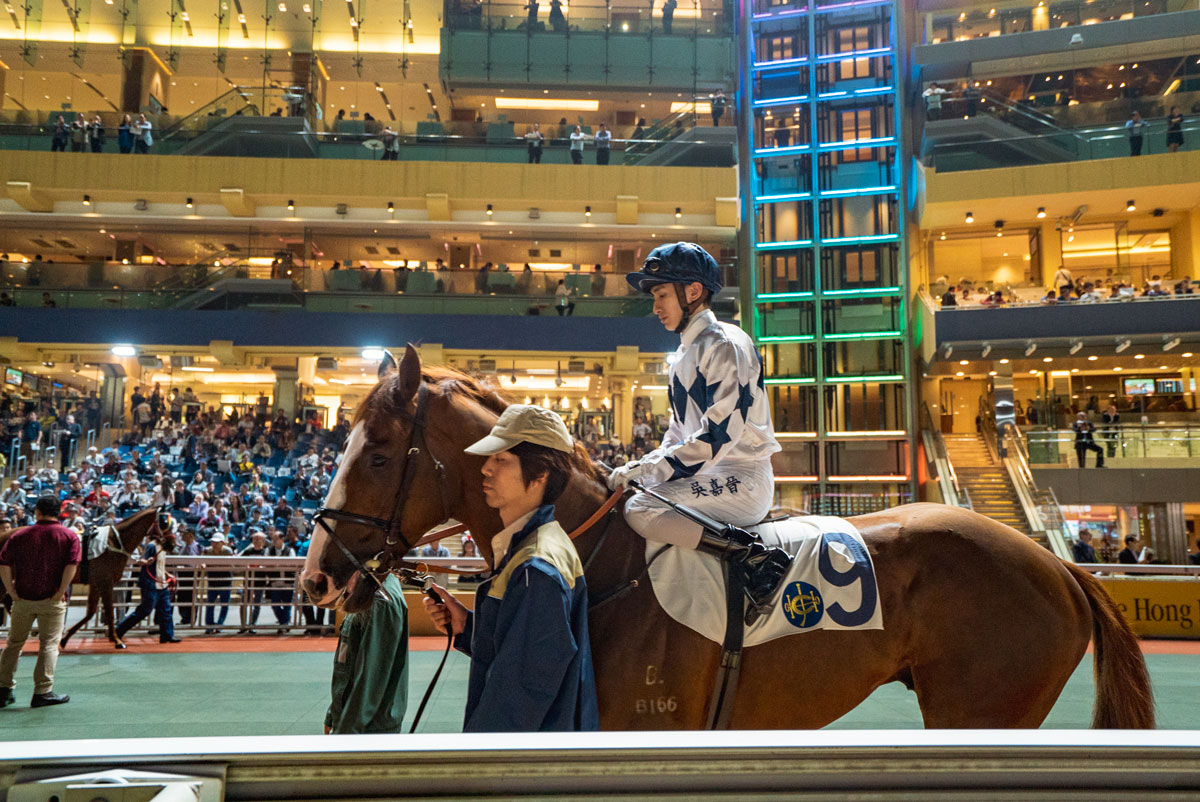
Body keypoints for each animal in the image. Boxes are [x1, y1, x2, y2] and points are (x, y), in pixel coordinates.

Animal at [60, 507, 163, 650]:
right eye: (161, 521)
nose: (164, 538)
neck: (115, 542)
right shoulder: (105, 582)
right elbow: (109, 611)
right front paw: (116, 640)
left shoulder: (96, 583)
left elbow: (91, 612)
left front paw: (64, 638)